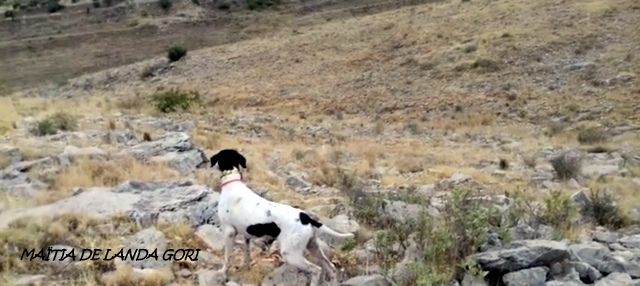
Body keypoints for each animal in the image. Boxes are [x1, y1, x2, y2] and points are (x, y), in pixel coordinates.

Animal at [210, 150, 356, 286]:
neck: (232, 183)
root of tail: (306, 217)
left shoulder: (229, 232)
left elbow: (227, 257)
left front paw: (223, 272)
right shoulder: (246, 236)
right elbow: (246, 255)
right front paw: (245, 267)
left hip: (291, 254)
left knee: (316, 269)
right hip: (313, 247)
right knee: (331, 268)